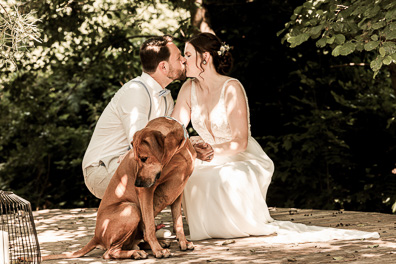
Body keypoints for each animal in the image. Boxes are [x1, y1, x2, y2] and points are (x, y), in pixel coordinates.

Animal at [41, 117, 196, 260]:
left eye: (144, 158)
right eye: (137, 159)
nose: (136, 183)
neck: (178, 153)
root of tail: (96, 236)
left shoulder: (177, 191)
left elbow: (178, 222)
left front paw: (183, 242)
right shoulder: (146, 191)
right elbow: (150, 226)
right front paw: (158, 250)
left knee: (131, 243)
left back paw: (153, 245)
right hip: (131, 209)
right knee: (109, 252)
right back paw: (138, 252)